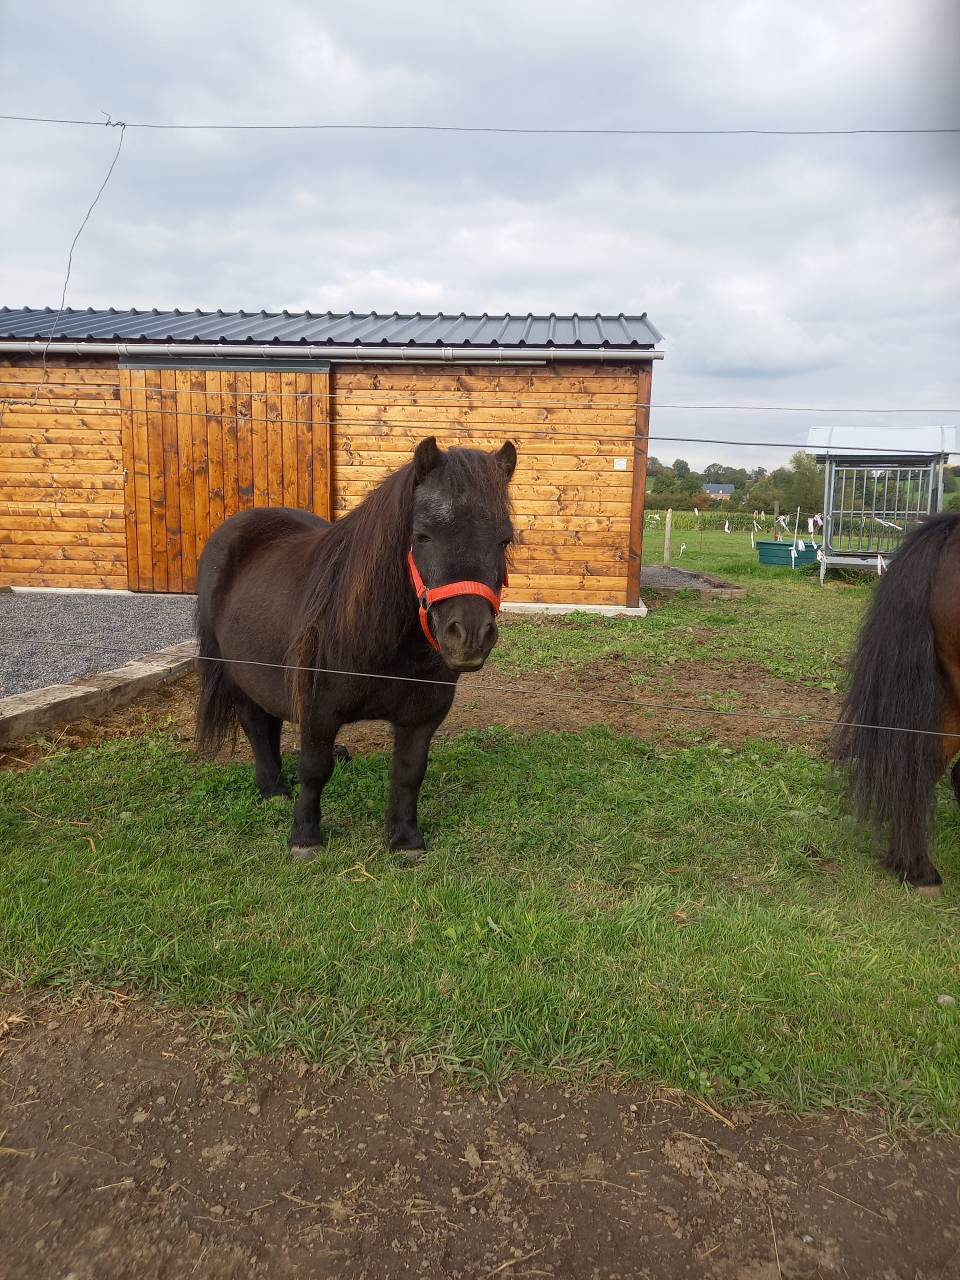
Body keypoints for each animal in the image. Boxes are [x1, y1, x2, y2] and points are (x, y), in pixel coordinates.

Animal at [194, 436, 517, 859]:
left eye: (503, 539)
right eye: (423, 535)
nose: (469, 636)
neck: (386, 646)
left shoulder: (422, 717)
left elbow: (409, 772)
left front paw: (405, 839)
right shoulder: (318, 712)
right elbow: (315, 770)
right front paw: (305, 837)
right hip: (236, 670)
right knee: (254, 722)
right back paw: (274, 790)